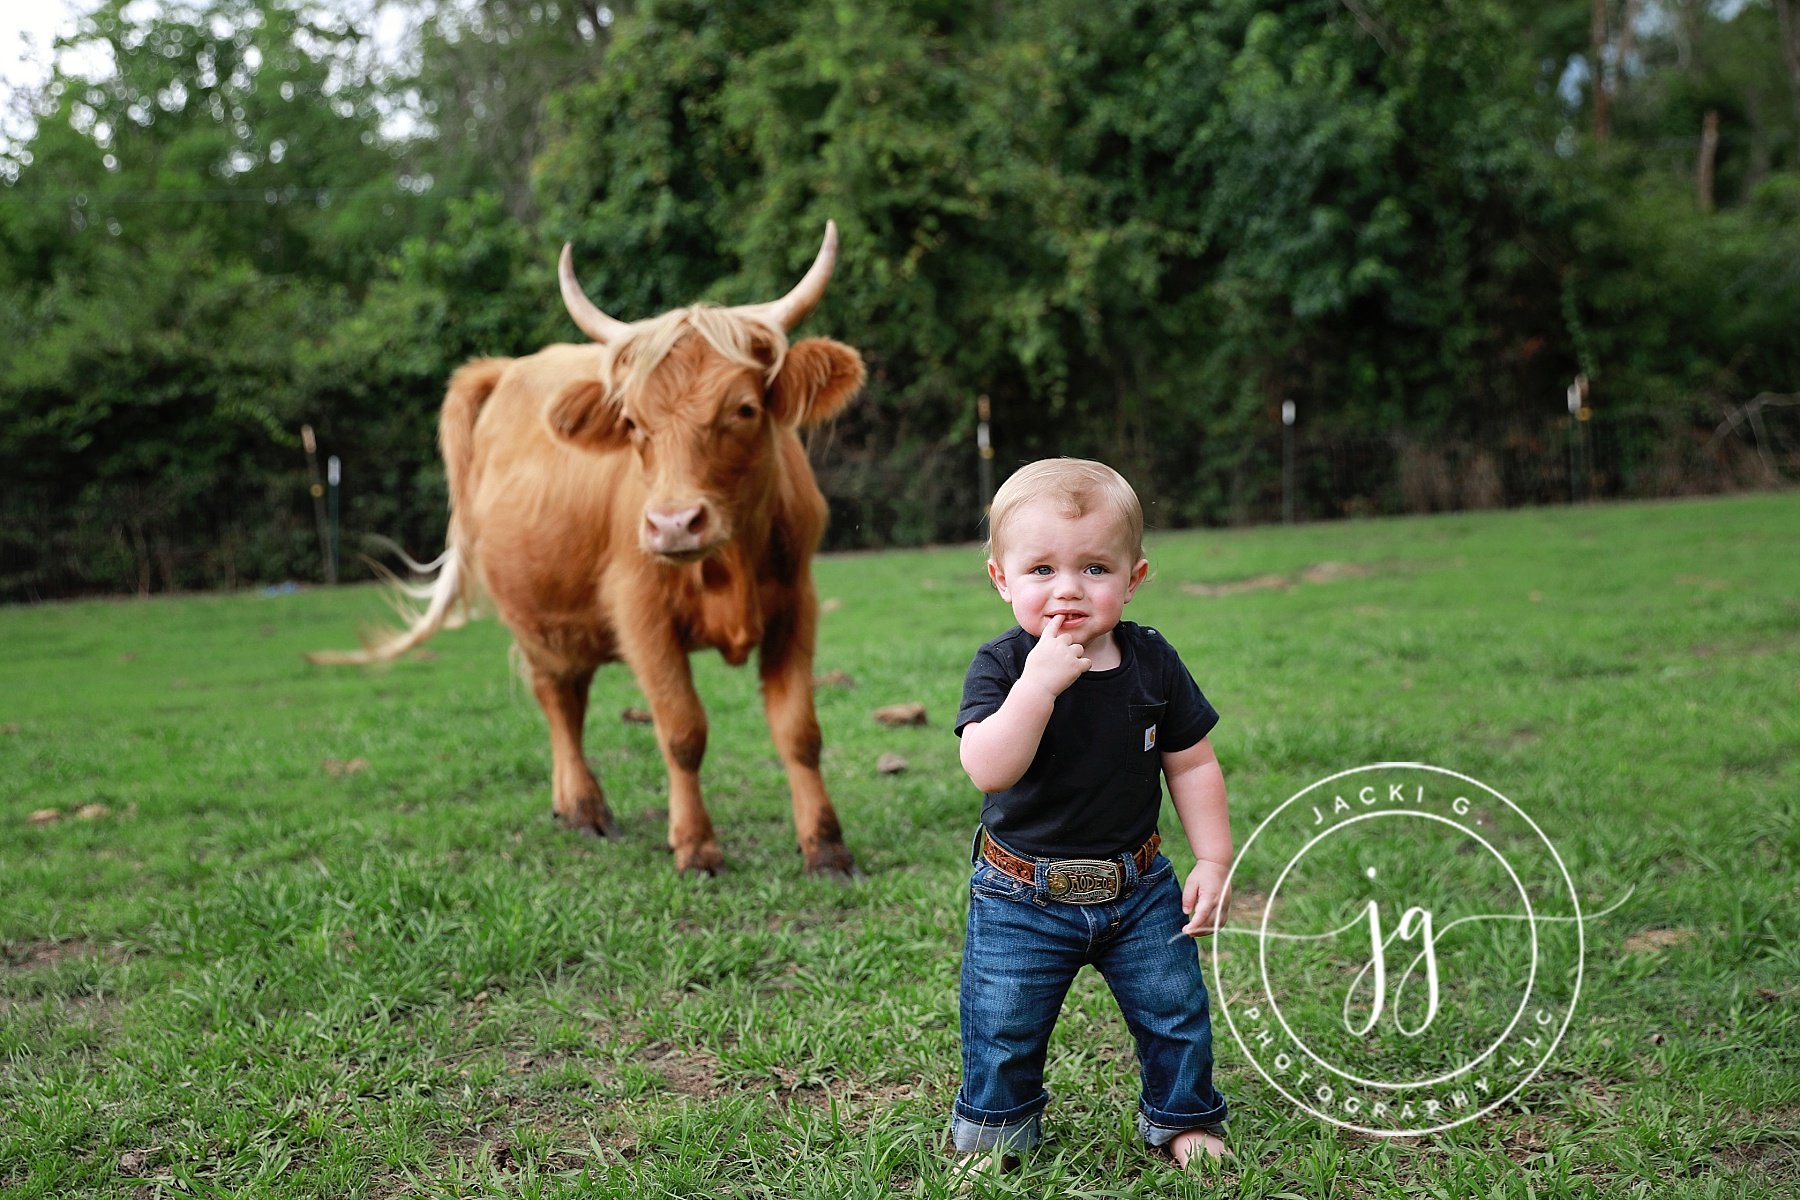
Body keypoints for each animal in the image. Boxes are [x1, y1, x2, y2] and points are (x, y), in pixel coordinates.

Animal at [311, 222, 865, 877]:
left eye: (745, 409)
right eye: (632, 423)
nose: (674, 525)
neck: (729, 564)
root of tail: (513, 367)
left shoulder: (796, 602)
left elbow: (799, 730)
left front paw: (826, 847)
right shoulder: (641, 612)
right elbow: (682, 730)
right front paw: (695, 846)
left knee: (570, 696)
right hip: (533, 618)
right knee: (558, 700)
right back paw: (583, 808)